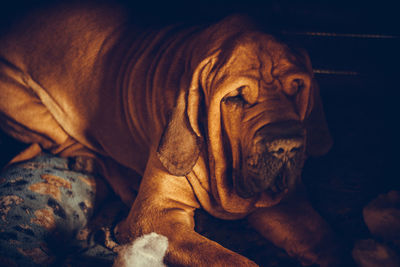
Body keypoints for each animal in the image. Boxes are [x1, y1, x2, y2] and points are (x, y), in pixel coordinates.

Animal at [0, 1, 344, 266]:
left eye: (296, 87)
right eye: (235, 98)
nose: (286, 146)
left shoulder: (285, 206)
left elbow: (325, 240)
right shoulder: (156, 215)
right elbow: (228, 259)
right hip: (26, 103)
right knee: (73, 145)